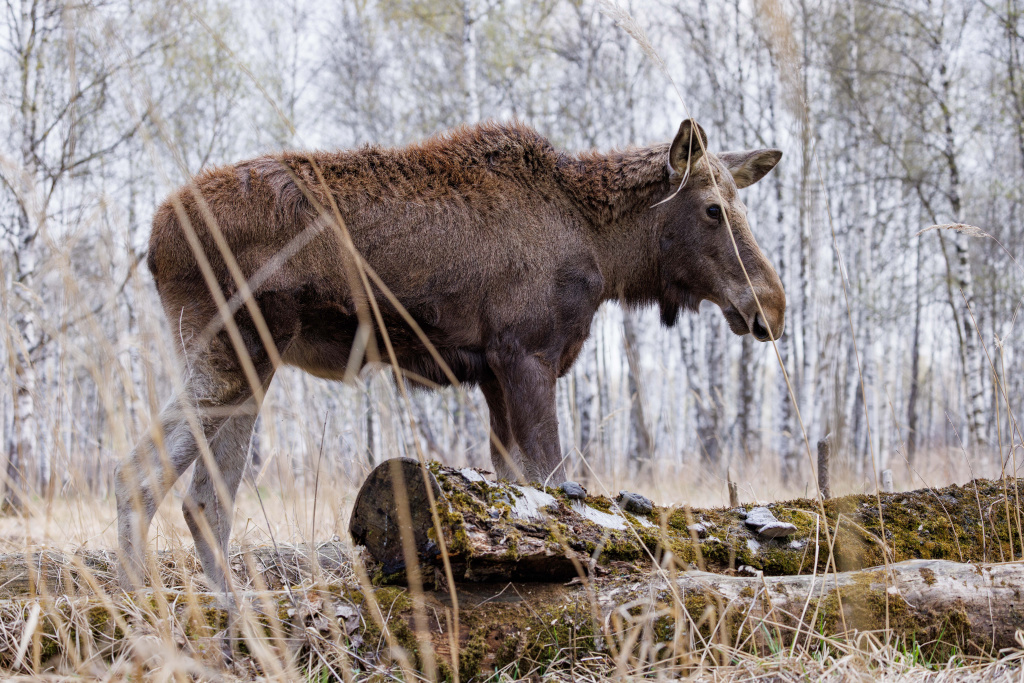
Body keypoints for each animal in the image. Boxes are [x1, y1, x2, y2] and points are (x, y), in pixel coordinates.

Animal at [115, 119, 785, 594]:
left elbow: (521, 491)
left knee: (201, 499)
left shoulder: (492, 376)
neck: (606, 251)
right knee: (145, 476)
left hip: (249, 360)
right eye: (713, 209)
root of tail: (152, 239)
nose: (770, 307)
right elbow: (553, 485)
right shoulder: (527, 354)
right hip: (234, 348)